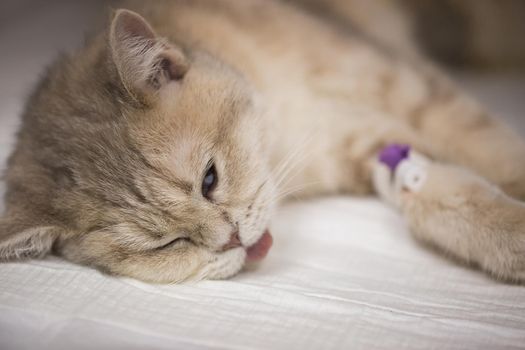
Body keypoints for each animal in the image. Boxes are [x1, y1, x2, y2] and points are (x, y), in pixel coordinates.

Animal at [1, 0, 524, 284]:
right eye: (165, 245)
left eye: (210, 179)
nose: (232, 239)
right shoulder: (378, 149)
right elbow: (448, 198)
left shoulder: (414, 90)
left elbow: (494, 151)